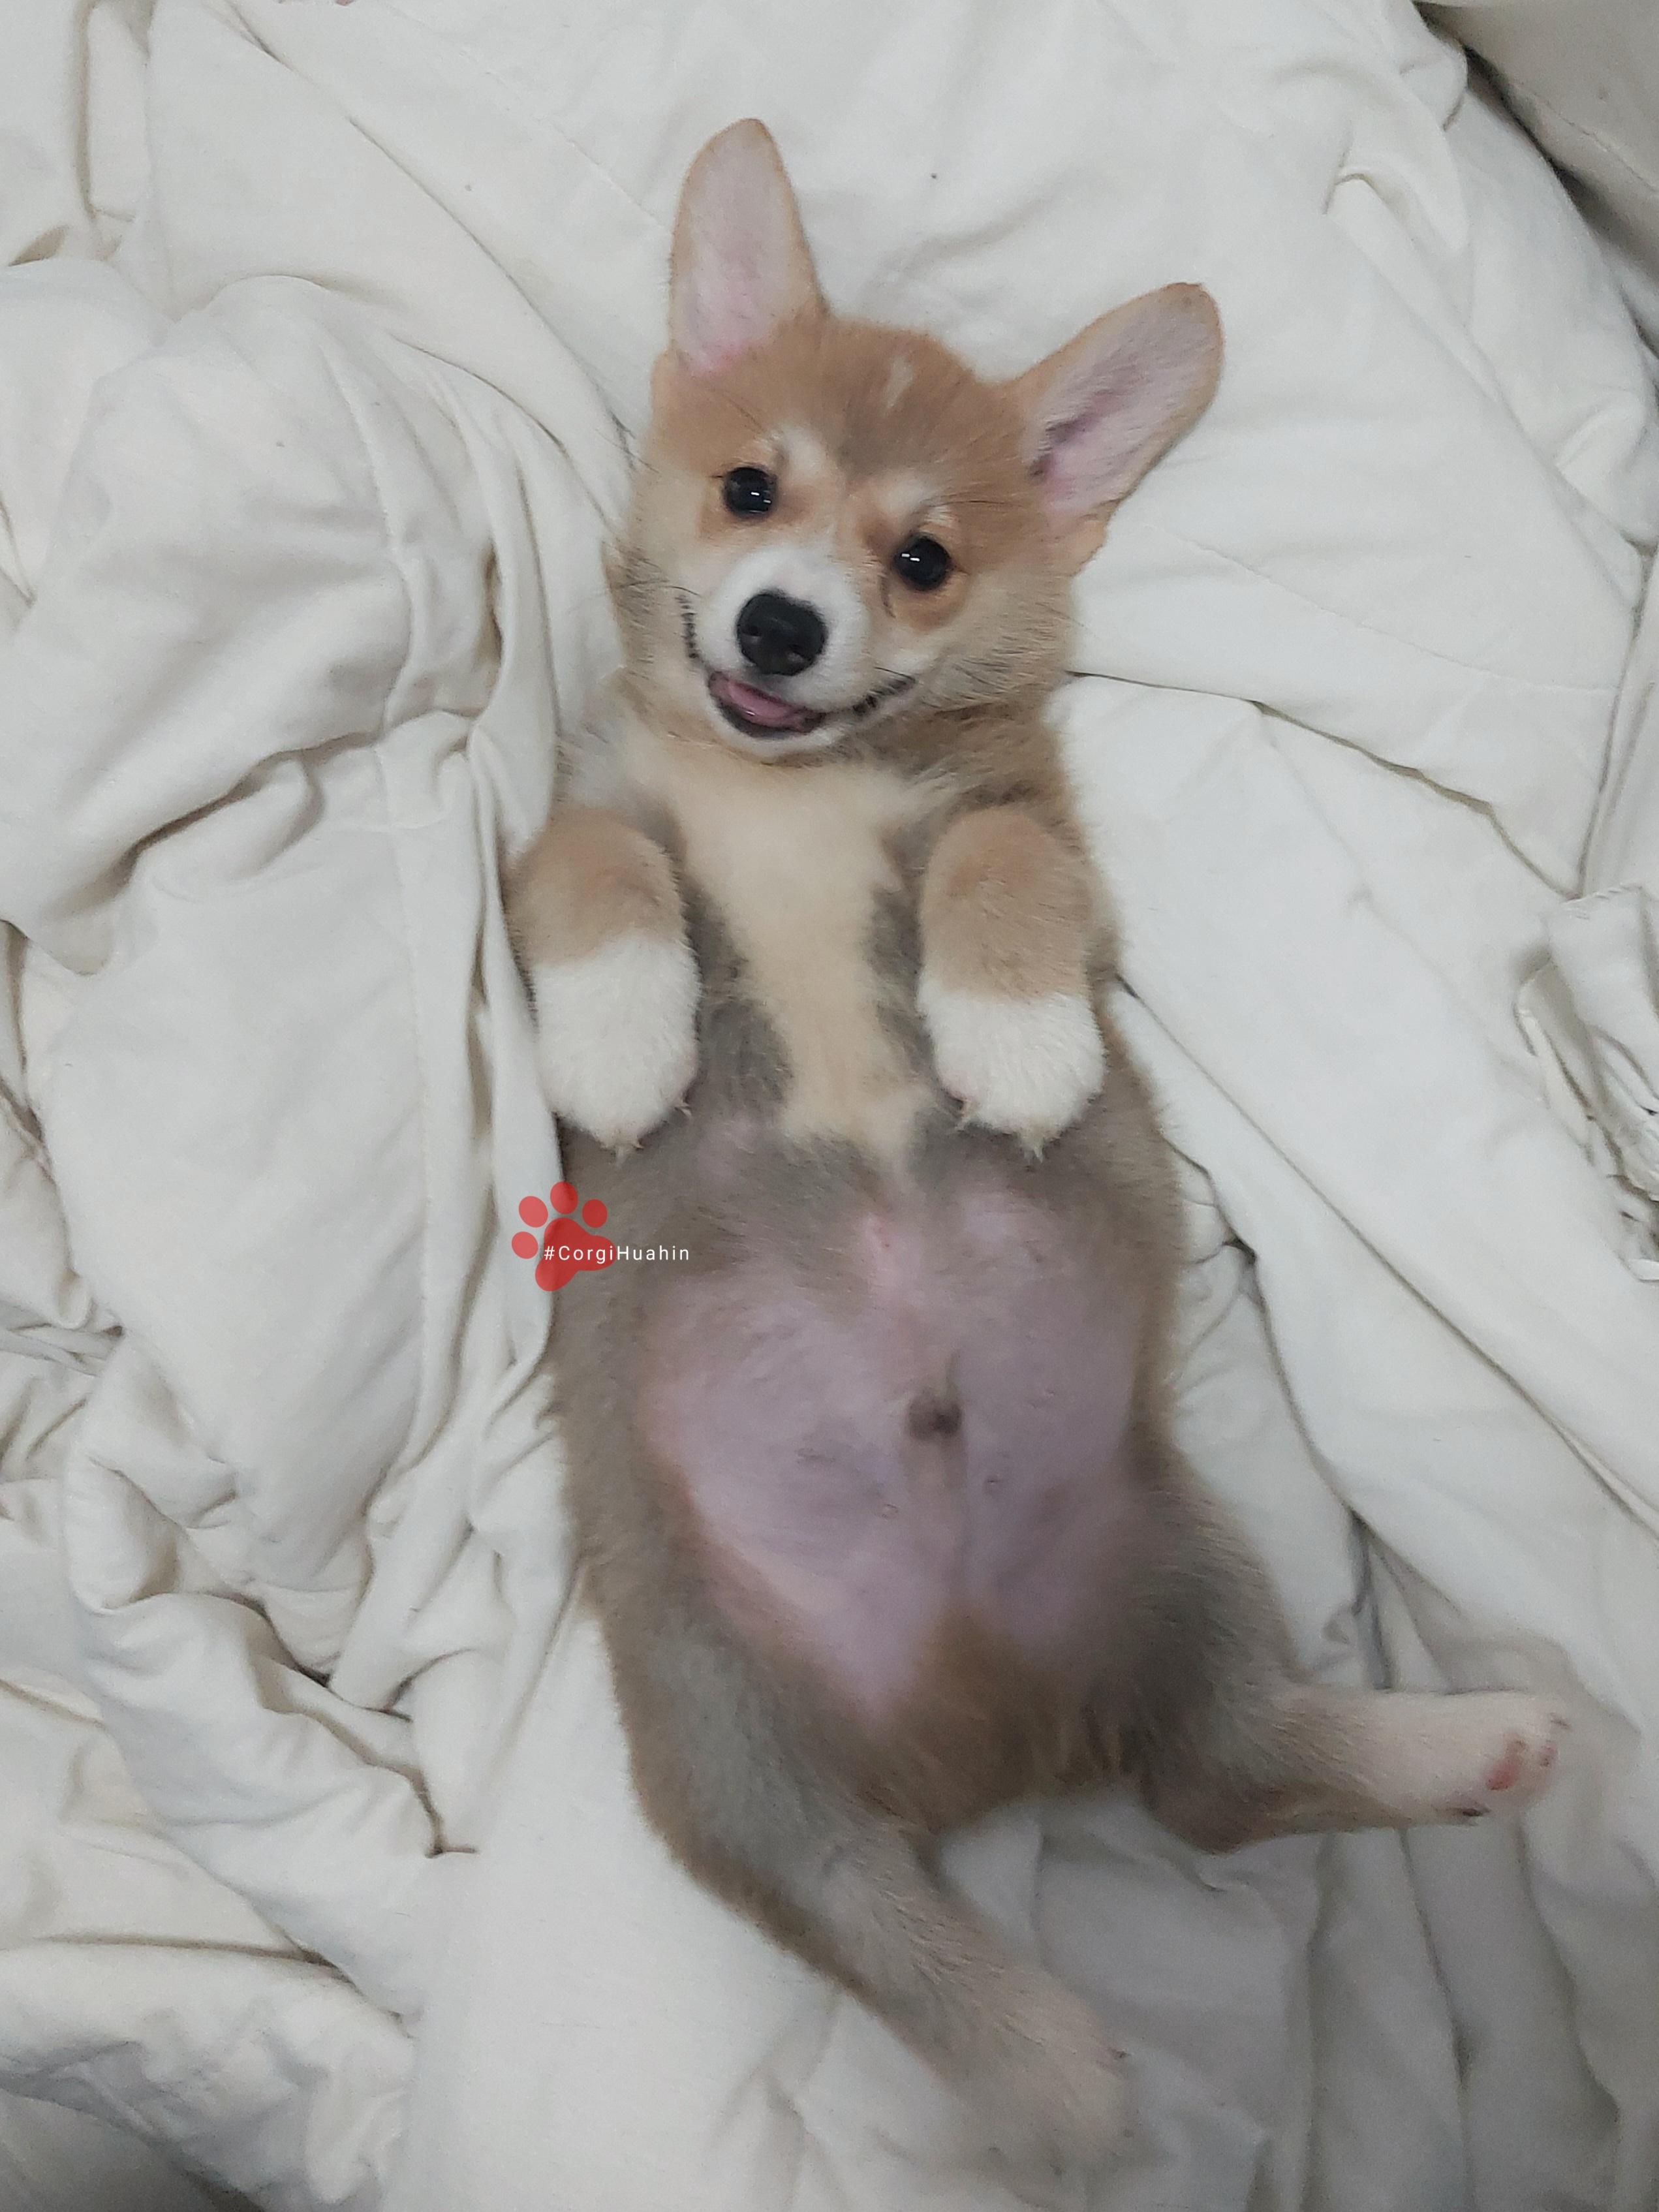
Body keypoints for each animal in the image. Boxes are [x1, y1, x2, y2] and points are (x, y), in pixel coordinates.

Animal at [508, 119, 1567, 2170]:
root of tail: (980, 1724)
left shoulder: (1026, 835)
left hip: (1173, 1570)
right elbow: (599, 869)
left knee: (1225, 1776)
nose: (779, 624)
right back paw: (1053, 2065)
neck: (790, 784)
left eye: (920, 560)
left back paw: (1455, 1745)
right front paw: (615, 1037)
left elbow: (996, 874)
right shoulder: (580, 817)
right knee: (874, 1897)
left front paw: (1010, 1043)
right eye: (751, 487)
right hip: (724, 1738)